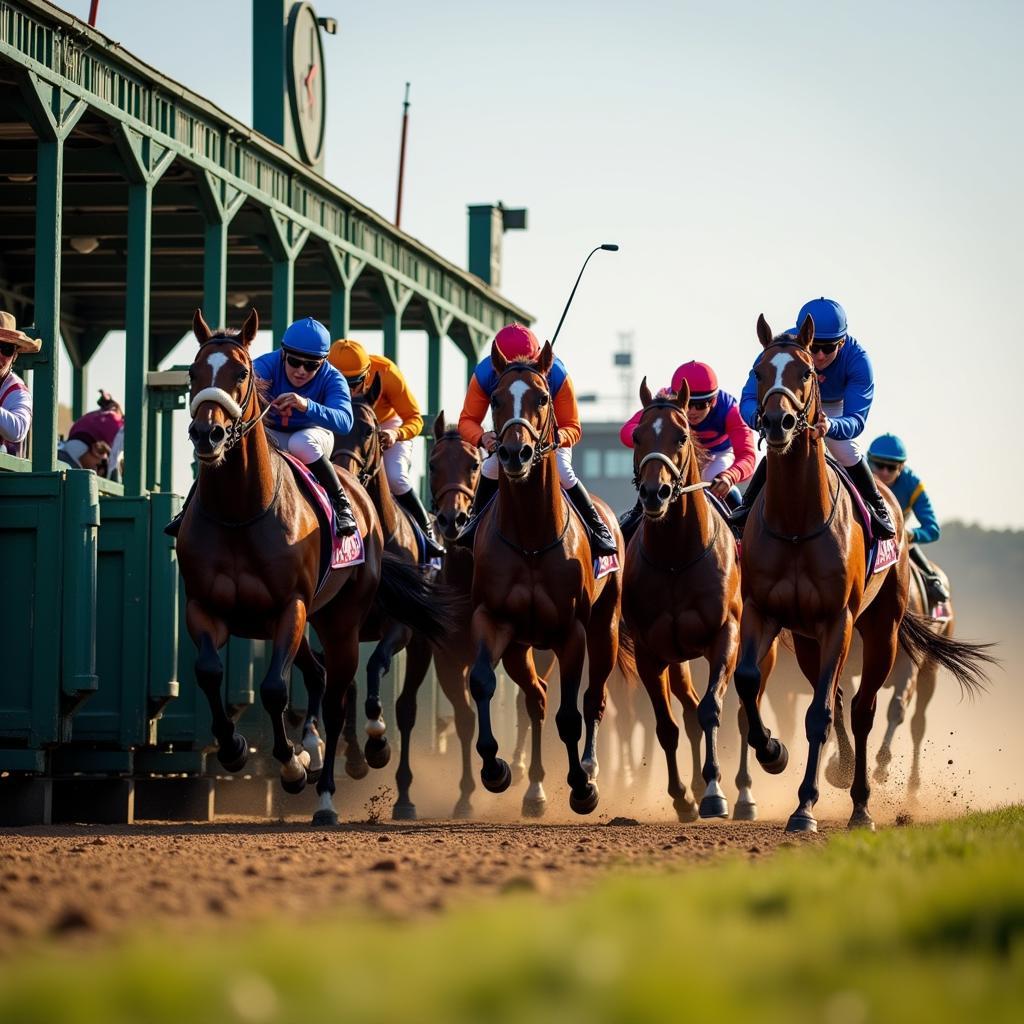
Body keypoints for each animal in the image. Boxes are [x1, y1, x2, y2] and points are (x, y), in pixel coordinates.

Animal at [178, 309, 450, 823]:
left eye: (241, 372)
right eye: (192, 373)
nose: (208, 434)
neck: (241, 511)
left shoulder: (294, 606)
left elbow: (274, 689)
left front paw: (293, 766)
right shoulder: (205, 607)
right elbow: (207, 672)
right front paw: (234, 748)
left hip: (340, 620)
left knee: (343, 693)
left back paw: (327, 794)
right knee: (321, 677)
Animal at [466, 344, 622, 815]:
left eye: (542, 397)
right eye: (496, 399)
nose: (514, 454)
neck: (531, 538)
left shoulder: (572, 631)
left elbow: (570, 715)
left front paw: (582, 787)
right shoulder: (492, 619)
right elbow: (480, 681)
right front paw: (495, 768)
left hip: (604, 629)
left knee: (593, 699)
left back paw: (588, 768)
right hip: (521, 646)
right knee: (534, 697)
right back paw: (533, 789)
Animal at [618, 385, 770, 823]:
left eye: (681, 436)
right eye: (638, 437)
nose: (654, 493)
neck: (676, 557)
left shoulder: (725, 636)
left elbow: (711, 710)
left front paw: (716, 793)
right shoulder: (650, 651)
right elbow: (668, 725)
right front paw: (683, 797)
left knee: (743, 711)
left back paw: (744, 794)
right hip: (678, 658)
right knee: (685, 710)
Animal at [737, 313, 991, 831]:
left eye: (806, 373)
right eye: (758, 371)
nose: (777, 422)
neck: (797, 521)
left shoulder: (839, 620)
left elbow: (822, 714)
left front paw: (805, 808)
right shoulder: (763, 610)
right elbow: (750, 681)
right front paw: (772, 751)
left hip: (883, 633)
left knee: (866, 710)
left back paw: (861, 803)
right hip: (808, 641)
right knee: (838, 699)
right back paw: (841, 771)